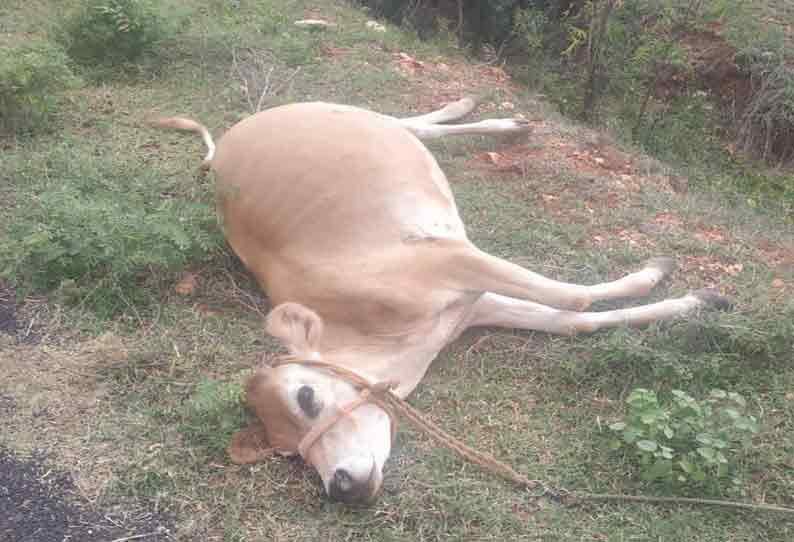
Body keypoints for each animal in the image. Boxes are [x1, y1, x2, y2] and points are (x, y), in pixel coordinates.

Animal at [152, 98, 728, 506]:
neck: (391, 341)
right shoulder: (471, 304)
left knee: (398, 119)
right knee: (411, 126)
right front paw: (691, 301)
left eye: (307, 397)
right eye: (288, 453)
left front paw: (661, 276)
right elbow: (574, 321)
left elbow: (577, 298)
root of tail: (228, 141)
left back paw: (488, 116)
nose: (340, 486)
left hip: (344, 114)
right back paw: (495, 120)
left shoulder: (451, 261)